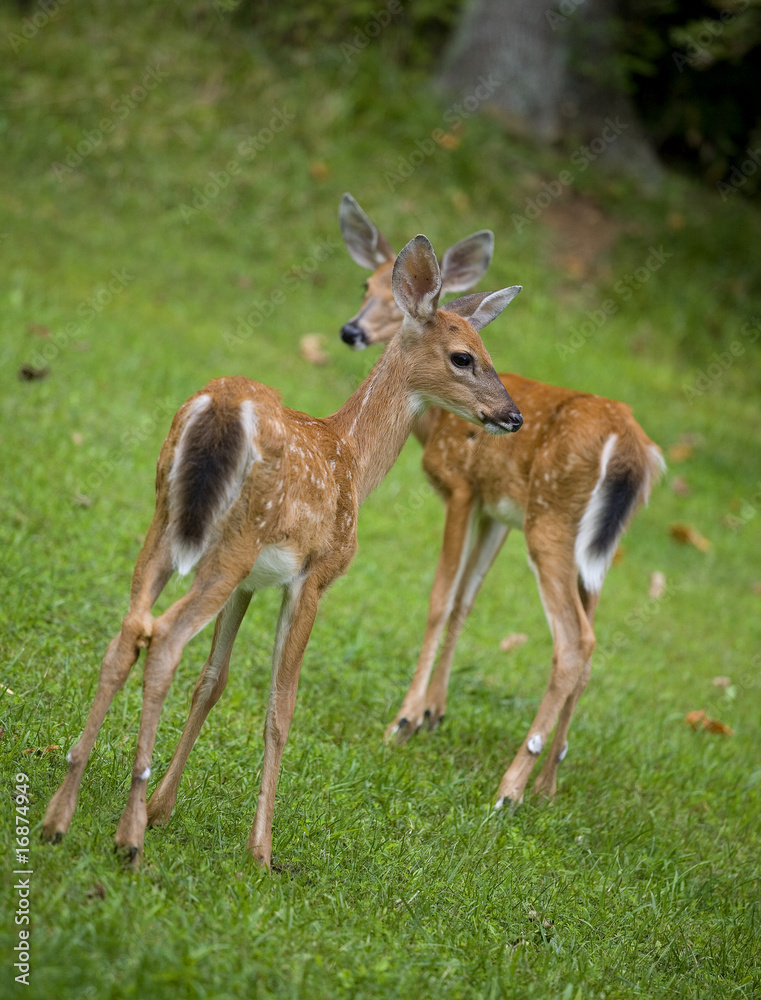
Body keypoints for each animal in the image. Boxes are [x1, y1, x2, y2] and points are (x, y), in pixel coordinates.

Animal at [336, 195, 664, 804]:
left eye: (389, 295)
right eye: (363, 283)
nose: (351, 330)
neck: (433, 425)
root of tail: (635, 448)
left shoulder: (463, 488)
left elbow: (440, 598)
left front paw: (403, 720)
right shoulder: (496, 512)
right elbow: (466, 600)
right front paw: (433, 713)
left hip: (552, 521)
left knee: (574, 642)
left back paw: (511, 787)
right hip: (596, 545)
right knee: (591, 642)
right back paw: (549, 782)